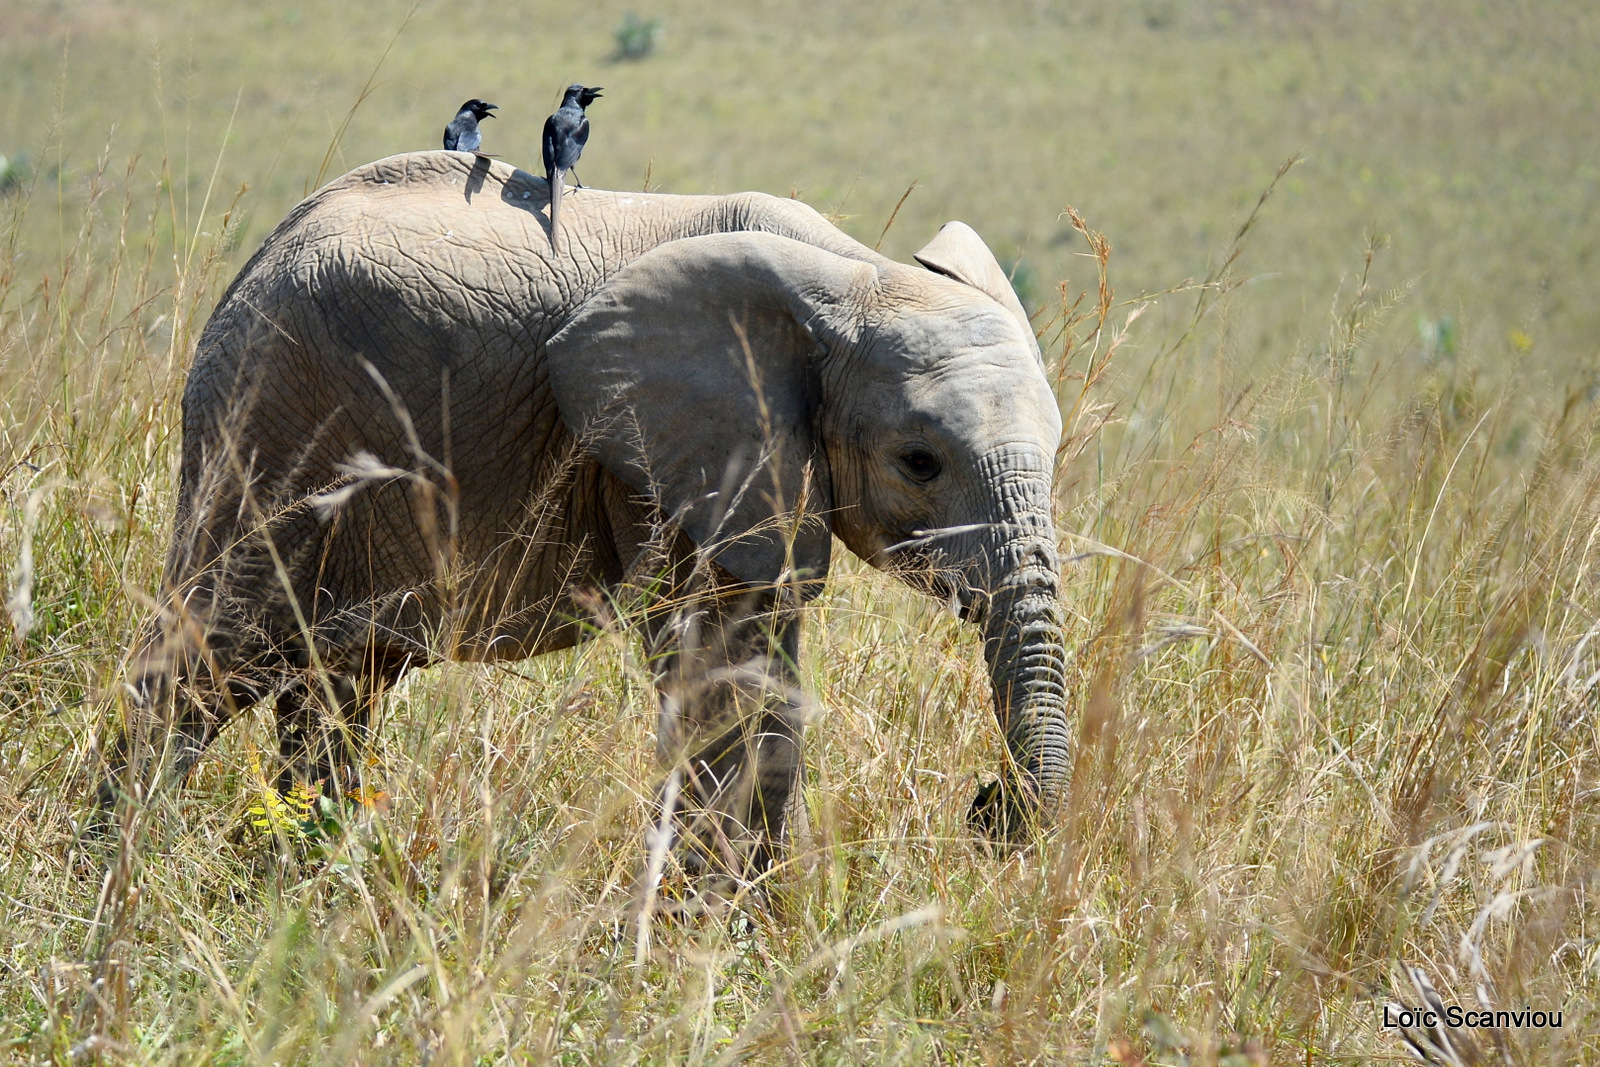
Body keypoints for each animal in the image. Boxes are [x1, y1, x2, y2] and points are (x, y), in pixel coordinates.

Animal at [103, 150, 1075, 883]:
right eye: (920, 461)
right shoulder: (657, 452)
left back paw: (308, 886)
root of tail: (263, 253)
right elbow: (717, 676)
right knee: (205, 660)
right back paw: (114, 882)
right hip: (275, 421)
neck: (857, 275)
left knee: (338, 684)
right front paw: (705, 942)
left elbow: (766, 679)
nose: (989, 804)